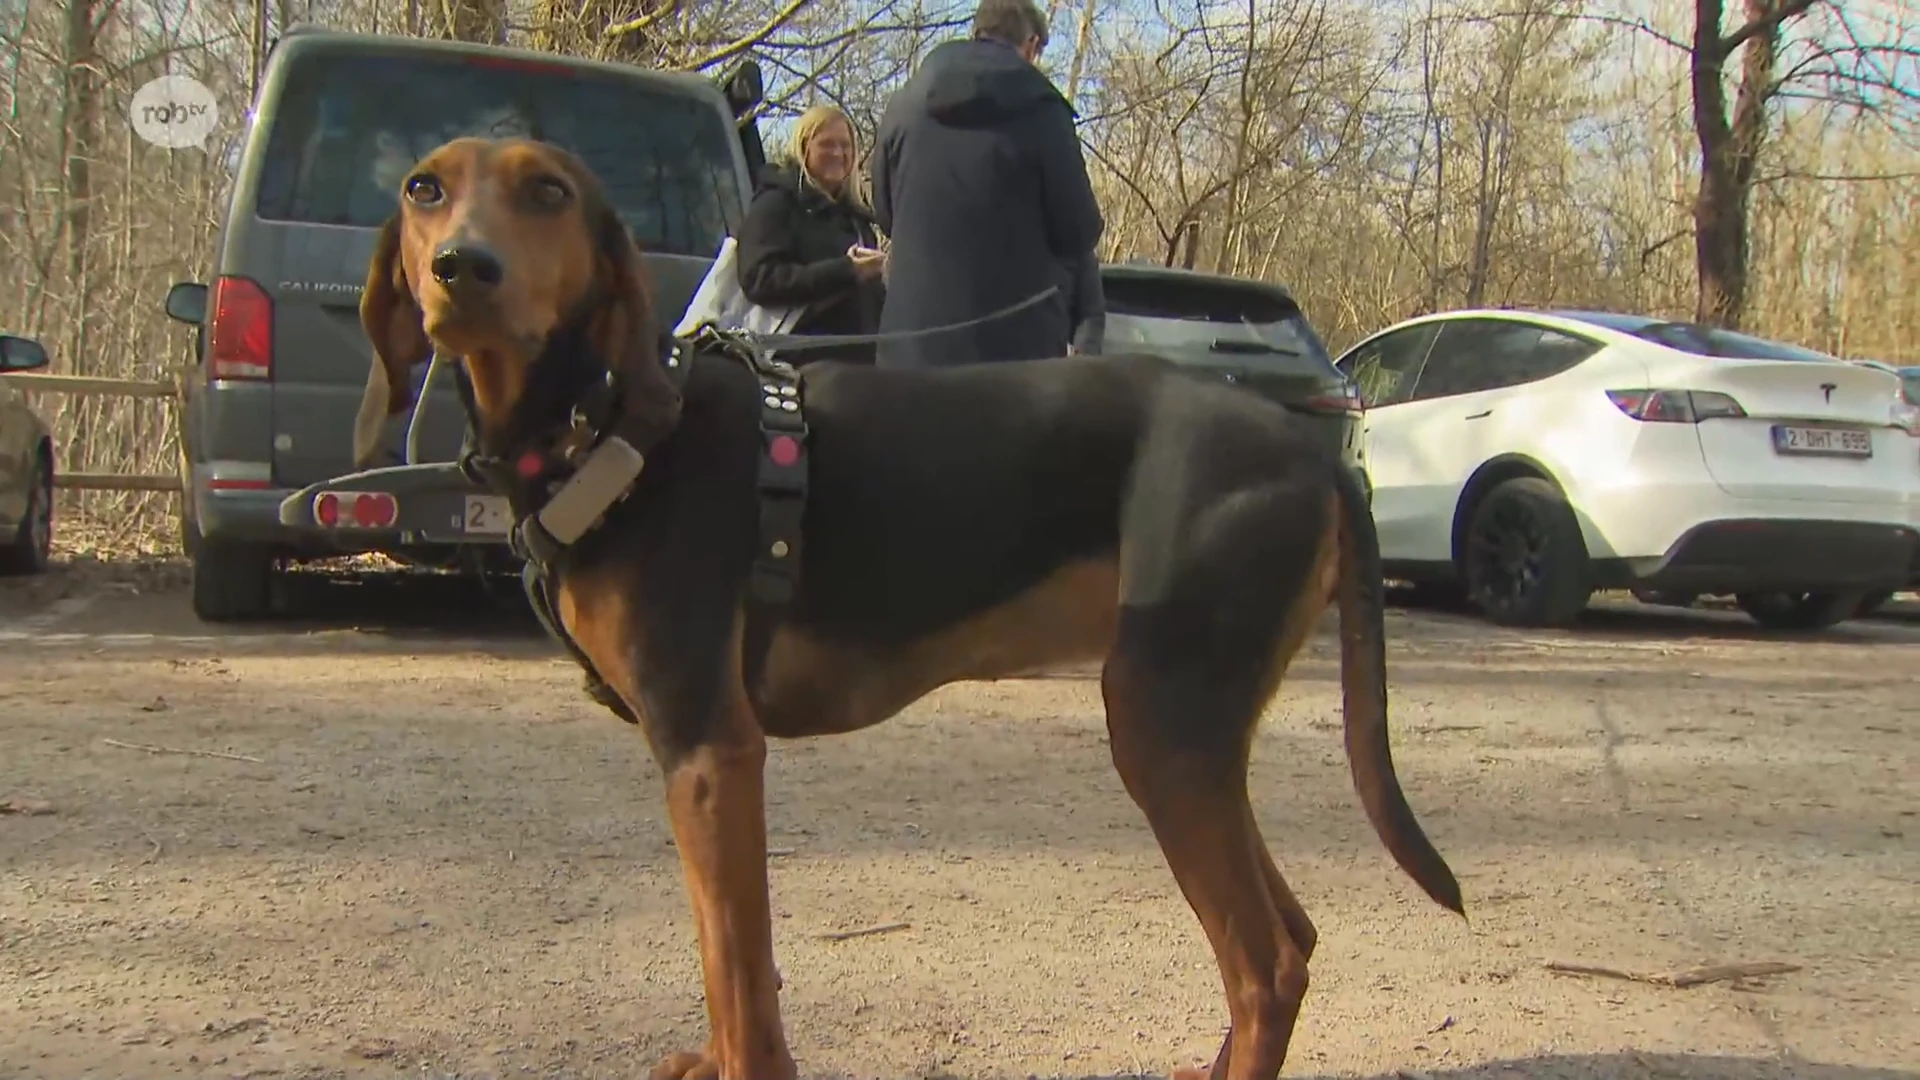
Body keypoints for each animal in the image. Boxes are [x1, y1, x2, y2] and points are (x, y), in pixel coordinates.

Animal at [349, 136, 1466, 1076]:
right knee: (1293, 939)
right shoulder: (700, 765)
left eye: (549, 192)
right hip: (1190, 737)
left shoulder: (711, 750)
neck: (604, 423)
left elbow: (738, 974)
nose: (465, 269)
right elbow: (725, 958)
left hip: (1163, 724)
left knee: (1265, 965)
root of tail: (1311, 458)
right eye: (424, 189)